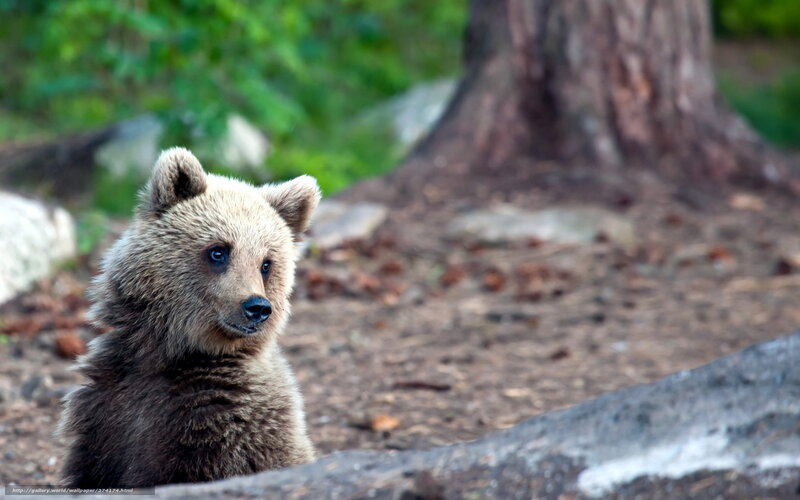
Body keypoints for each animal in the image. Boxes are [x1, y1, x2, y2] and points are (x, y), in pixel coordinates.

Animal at [58, 147, 319, 488]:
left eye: (266, 263)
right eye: (219, 251)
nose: (257, 307)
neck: (172, 352)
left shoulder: (219, 430)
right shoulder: (110, 410)